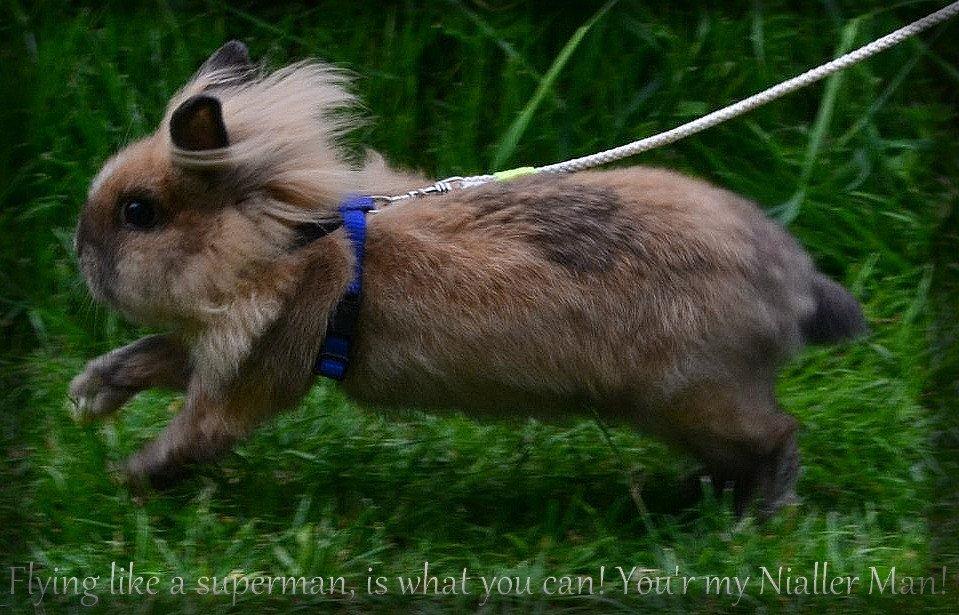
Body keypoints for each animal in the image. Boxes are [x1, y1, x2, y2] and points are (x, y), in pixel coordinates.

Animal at [71, 41, 868, 516]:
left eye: (139, 212)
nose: (78, 252)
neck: (293, 247)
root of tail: (795, 281)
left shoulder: (251, 373)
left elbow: (194, 432)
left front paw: (126, 480)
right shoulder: (216, 349)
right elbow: (155, 356)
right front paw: (90, 394)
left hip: (699, 395)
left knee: (778, 434)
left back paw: (758, 518)